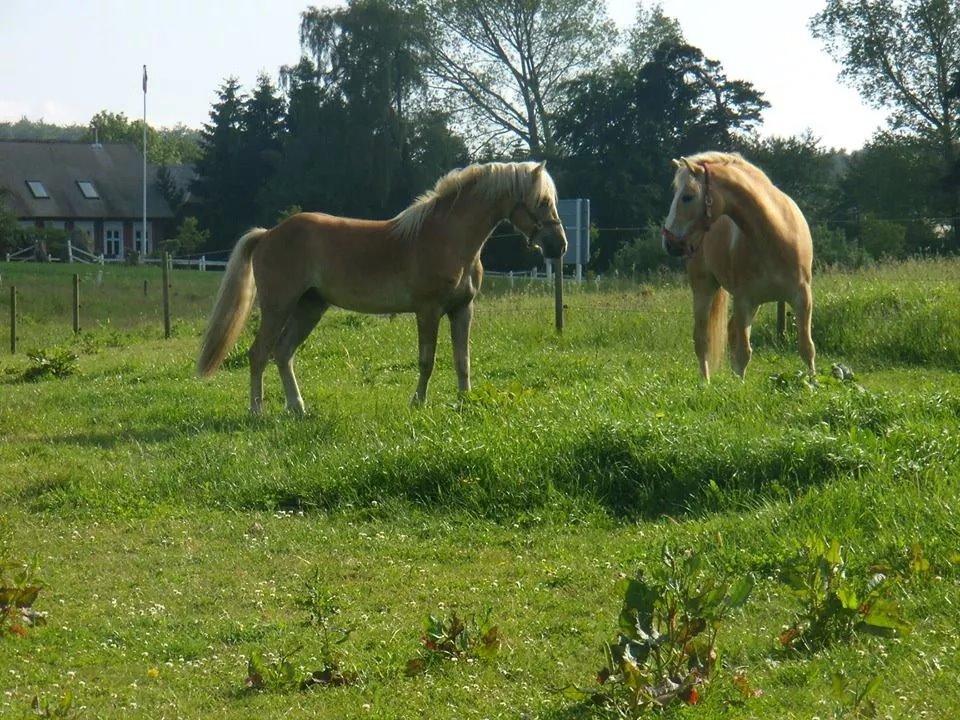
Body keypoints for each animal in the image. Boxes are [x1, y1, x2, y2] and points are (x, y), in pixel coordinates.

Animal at [198, 160, 568, 414]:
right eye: (542, 201)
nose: (559, 246)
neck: (448, 237)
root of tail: (268, 234)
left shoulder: (463, 309)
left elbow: (462, 359)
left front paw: (465, 401)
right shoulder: (427, 310)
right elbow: (427, 360)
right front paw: (417, 402)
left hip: (310, 307)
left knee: (283, 352)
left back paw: (297, 407)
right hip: (278, 306)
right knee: (259, 353)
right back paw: (257, 410)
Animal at [664, 149, 812, 380]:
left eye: (687, 196)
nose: (669, 243)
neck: (774, 234)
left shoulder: (802, 296)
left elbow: (807, 347)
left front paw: (814, 382)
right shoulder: (744, 300)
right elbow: (743, 353)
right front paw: (739, 386)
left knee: (730, 332)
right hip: (704, 289)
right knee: (702, 340)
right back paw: (705, 383)